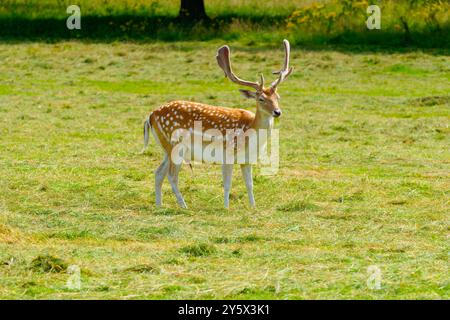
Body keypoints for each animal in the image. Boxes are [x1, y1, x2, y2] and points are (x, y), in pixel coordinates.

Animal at [142, 38, 294, 209]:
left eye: (278, 97)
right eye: (261, 99)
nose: (277, 112)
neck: (251, 135)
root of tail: (150, 115)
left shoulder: (247, 160)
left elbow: (249, 184)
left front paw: (253, 207)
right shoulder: (228, 153)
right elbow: (227, 184)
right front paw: (226, 207)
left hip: (166, 148)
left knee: (158, 172)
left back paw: (159, 205)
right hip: (176, 146)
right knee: (171, 175)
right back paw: (184, 207)